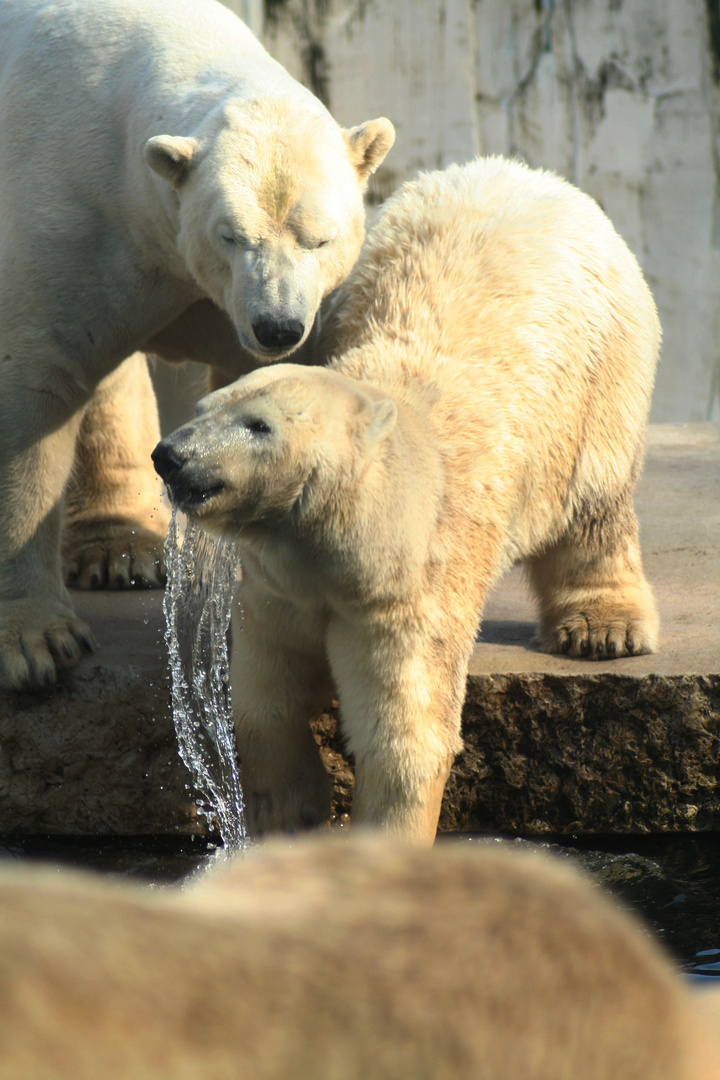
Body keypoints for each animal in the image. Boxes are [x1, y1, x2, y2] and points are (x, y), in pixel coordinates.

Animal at [0, 0, 395, 686]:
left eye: (320, 239)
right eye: (230, 235)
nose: (277, 326)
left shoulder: (209, 295)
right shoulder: (67, 214)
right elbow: (35, 386)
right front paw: (36, 642)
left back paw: (123, 547)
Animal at [155, 156, 660, 842]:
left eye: (258, 426)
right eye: (205, 409)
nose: (170, 456)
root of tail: (532, 174)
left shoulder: (410, 590)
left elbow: (404, 735)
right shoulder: (283, 585)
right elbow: (265, 704)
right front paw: (290, 815)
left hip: (600, 381)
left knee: (593, 510)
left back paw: (603, 629)